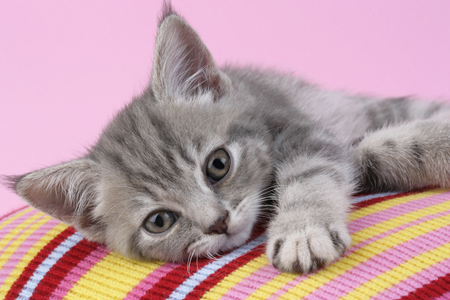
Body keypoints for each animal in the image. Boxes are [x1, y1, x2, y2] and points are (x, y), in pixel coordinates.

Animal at [6, 4, 450, 274]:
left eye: (218, 164)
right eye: (159, 221)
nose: (217, 223)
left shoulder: (302, 130)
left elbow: (315, 171)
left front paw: (302, 231)